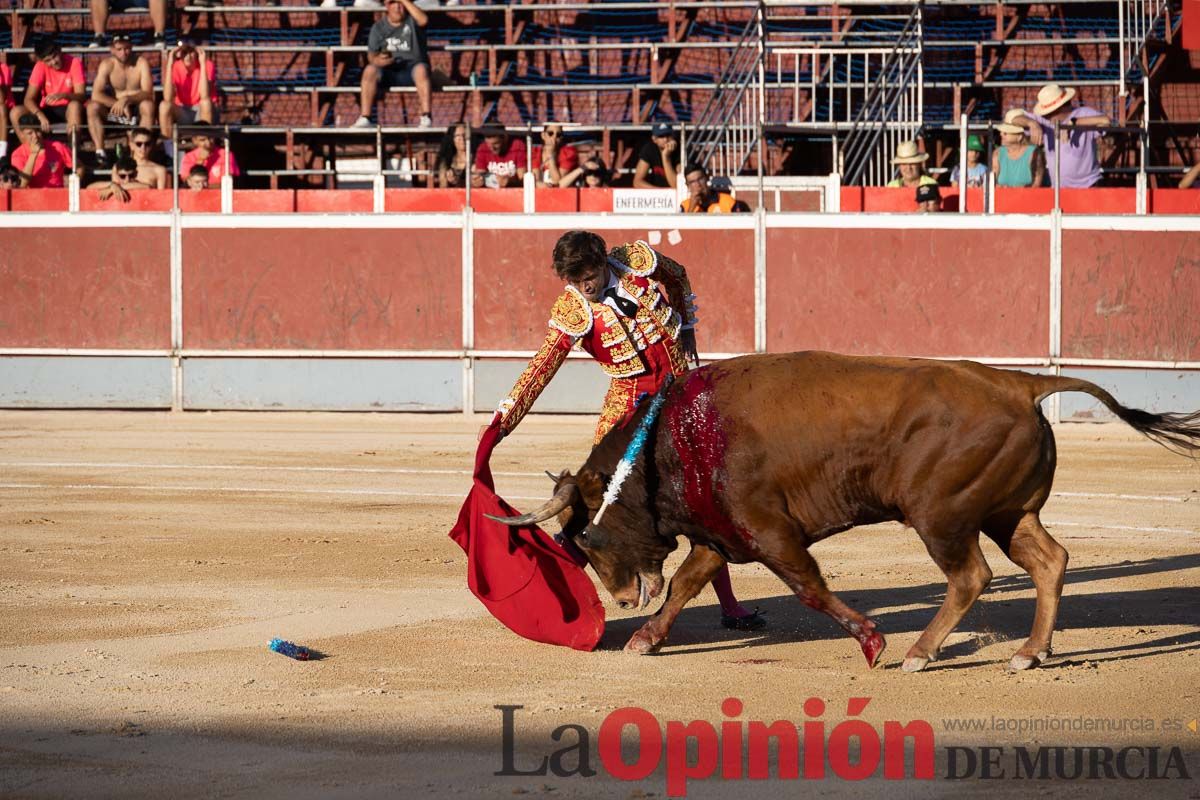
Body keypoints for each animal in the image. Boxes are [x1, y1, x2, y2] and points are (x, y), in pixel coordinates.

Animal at [489, 352, 1200, 671]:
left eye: (585, 538)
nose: (617, 597)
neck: (668, 442)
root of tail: (1022, 382)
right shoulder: (720, 534)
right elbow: (687, 585)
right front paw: (644, 638)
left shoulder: (769, 532)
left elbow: (808, 587)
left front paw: (871, 640)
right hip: (1006, 514)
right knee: (1049, 561)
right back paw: (1029, 651)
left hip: (942, 517)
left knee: (971, 576)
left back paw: (918, 653)